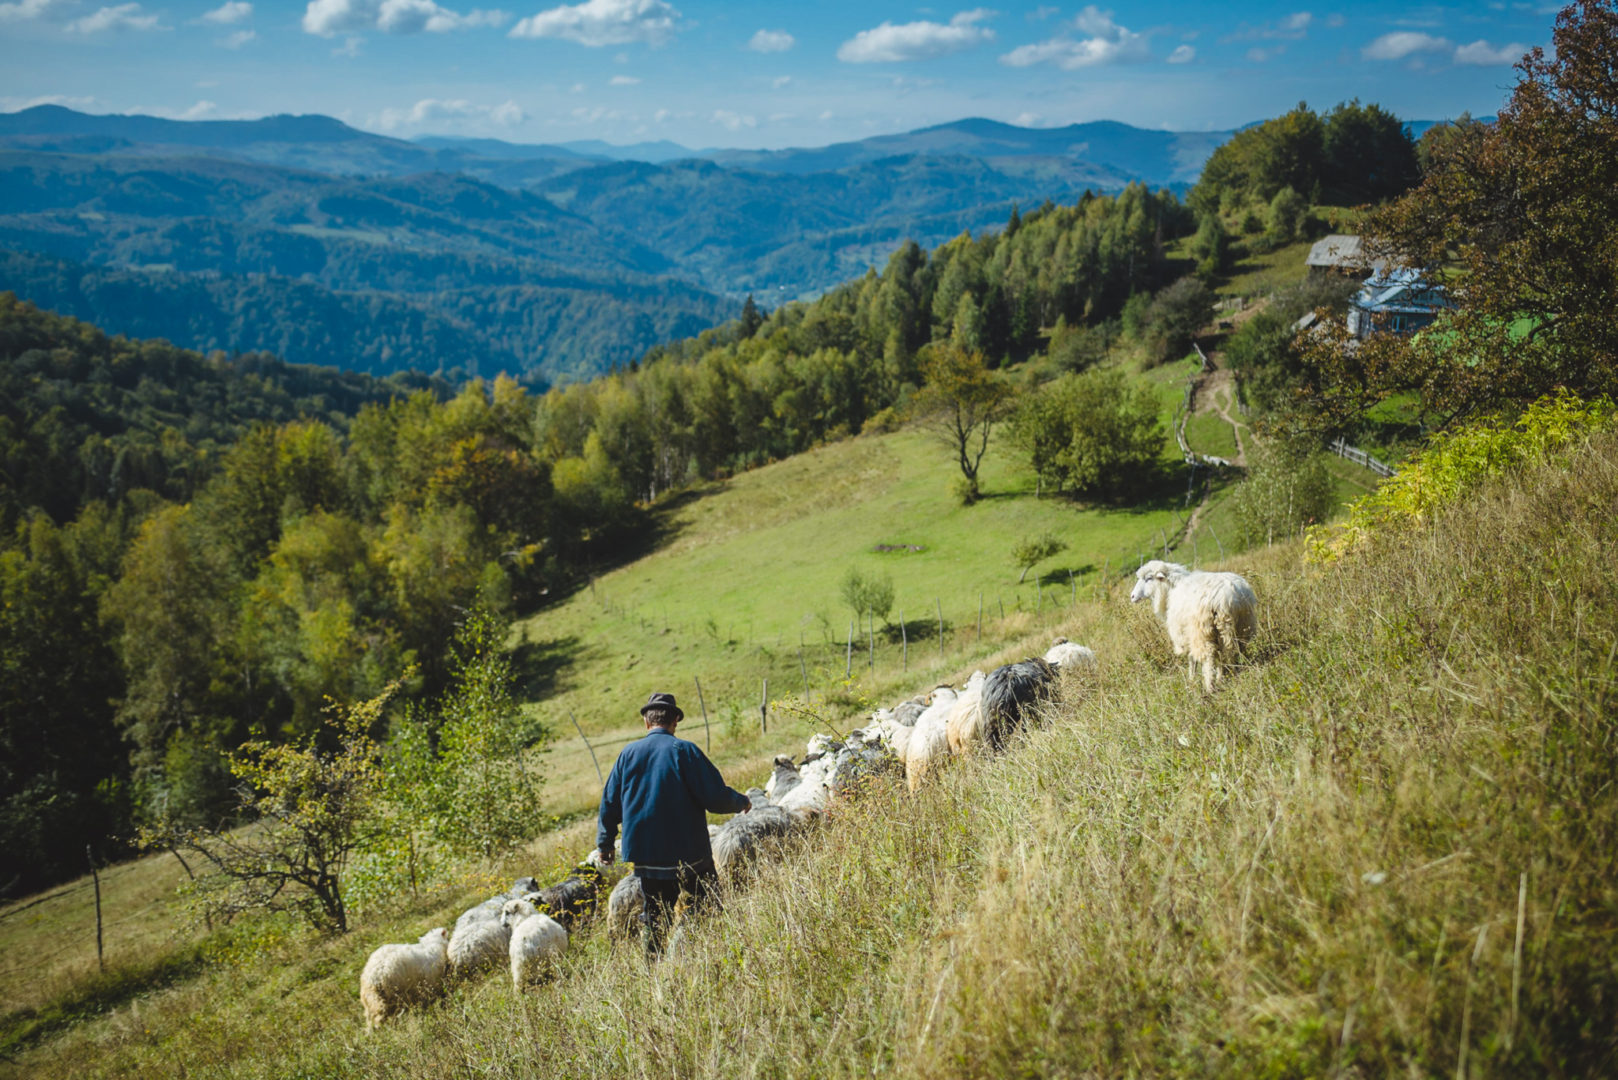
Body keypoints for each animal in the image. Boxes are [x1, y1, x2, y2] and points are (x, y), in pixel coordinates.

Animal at [1132, 557, 1255, 693]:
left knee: (1208, 656)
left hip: (1202, 629)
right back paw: (1229, 674)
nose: (1132, 596)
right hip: (1240, 625)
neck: (1170, 589)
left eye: (1148, 578)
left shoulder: (1184, 633)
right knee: (1232, 650)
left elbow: (1191, 658)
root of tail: (1226, 597)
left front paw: (1191, 679)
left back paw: (1209, 686)